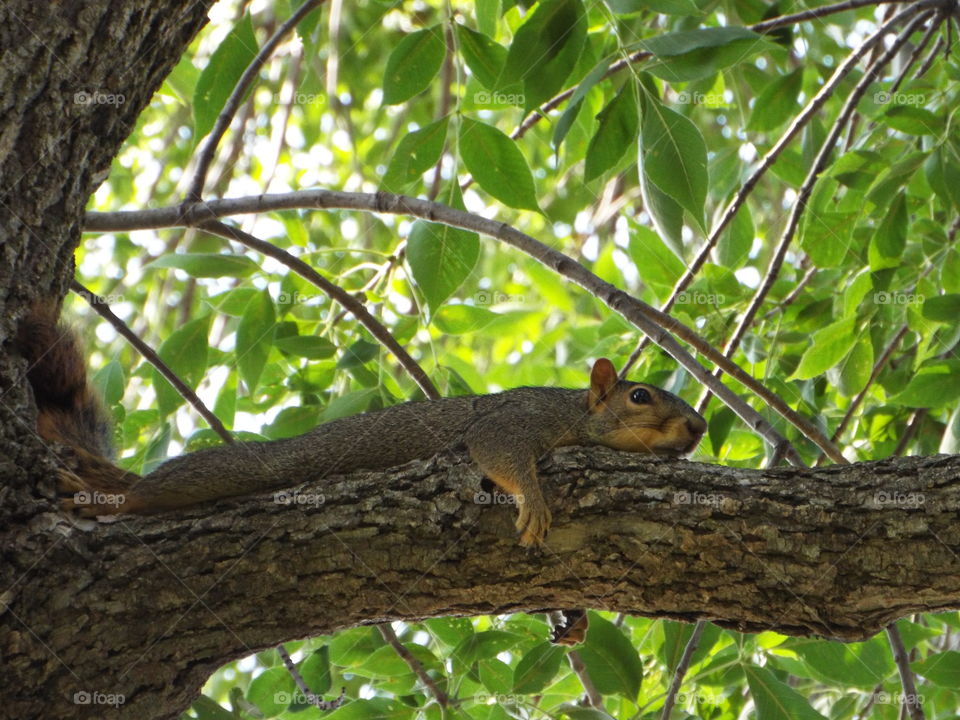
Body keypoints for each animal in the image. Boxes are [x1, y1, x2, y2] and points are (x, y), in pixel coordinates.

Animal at [19, 304, 707, 549]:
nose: (699, 428)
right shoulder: (521, 419)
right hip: (223, 474)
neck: (573, 414)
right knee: (150, 493)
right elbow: (496, 448)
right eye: (640, 396)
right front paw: (534, 501)